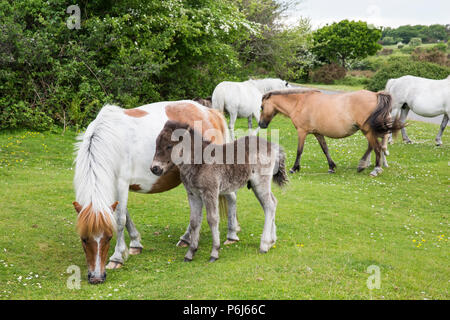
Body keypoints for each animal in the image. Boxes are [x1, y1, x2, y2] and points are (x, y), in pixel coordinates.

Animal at [258, 89, 402, 176]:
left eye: (262, 107)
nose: (261, 124)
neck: (300, 102)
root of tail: (376, 95)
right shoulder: (318, 133)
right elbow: (325, 149)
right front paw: (331, 167)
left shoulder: (302, 132)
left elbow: (299, 150)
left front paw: (294, 168)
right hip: (368, 130)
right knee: (373, 146)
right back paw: (363, 165)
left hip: (368, 130)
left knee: (376, 147)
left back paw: (375, 169)